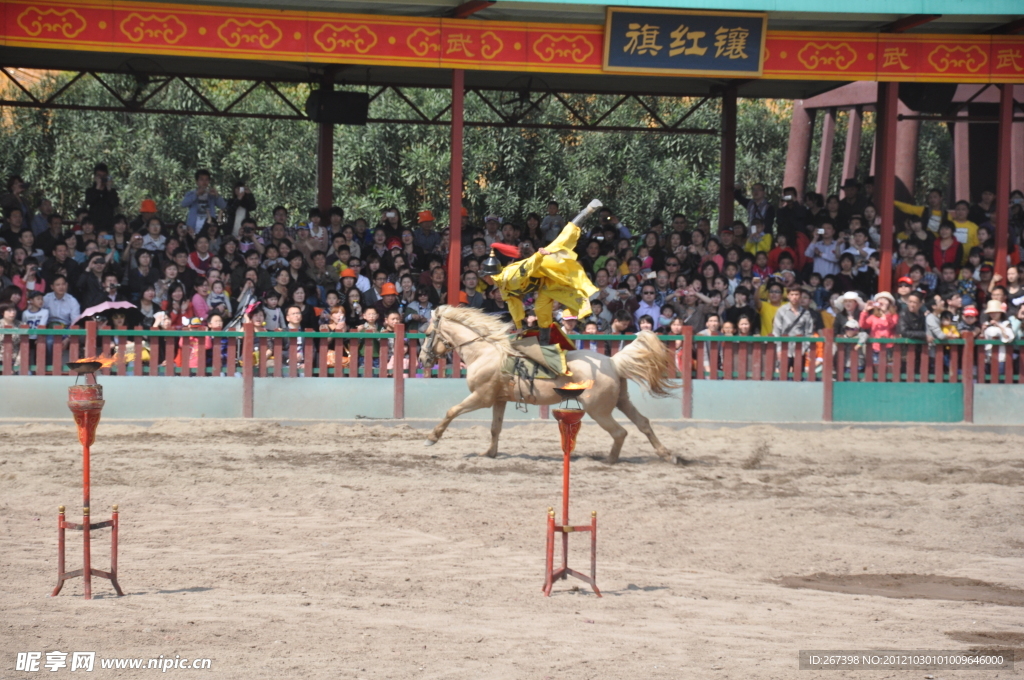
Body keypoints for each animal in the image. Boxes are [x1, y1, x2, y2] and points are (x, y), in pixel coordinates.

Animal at [419, 305, 684, 464]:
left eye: (427, 333)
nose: (422, 359)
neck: (486, 352)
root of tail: (612, 362)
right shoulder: (499, 400)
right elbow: (496, 428)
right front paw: (490, 453)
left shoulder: (481, 398)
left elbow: (451, 411)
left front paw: (432, 437)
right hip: (621, 402)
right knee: (643, 424)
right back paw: (667, 455)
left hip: (599, 410)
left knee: (620, 432)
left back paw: (609, 460)